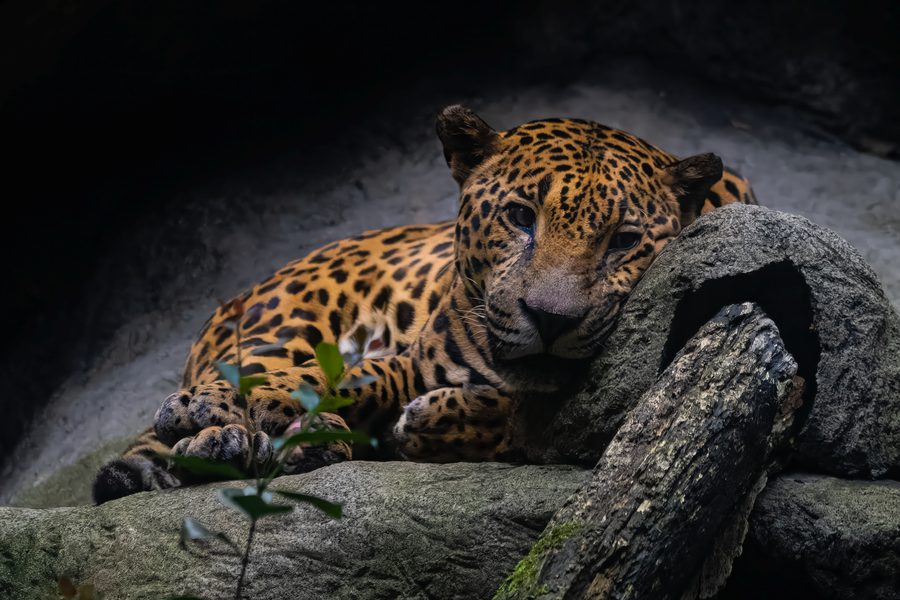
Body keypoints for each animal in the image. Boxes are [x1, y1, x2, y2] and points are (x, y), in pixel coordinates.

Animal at [93, 105, 757, 503]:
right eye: (521, 217)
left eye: (622, 241)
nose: (550, 319)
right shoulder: (407, 359)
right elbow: (348, 378)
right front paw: (239, 414)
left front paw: (440, 420)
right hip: (282, 322)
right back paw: (223, 431)